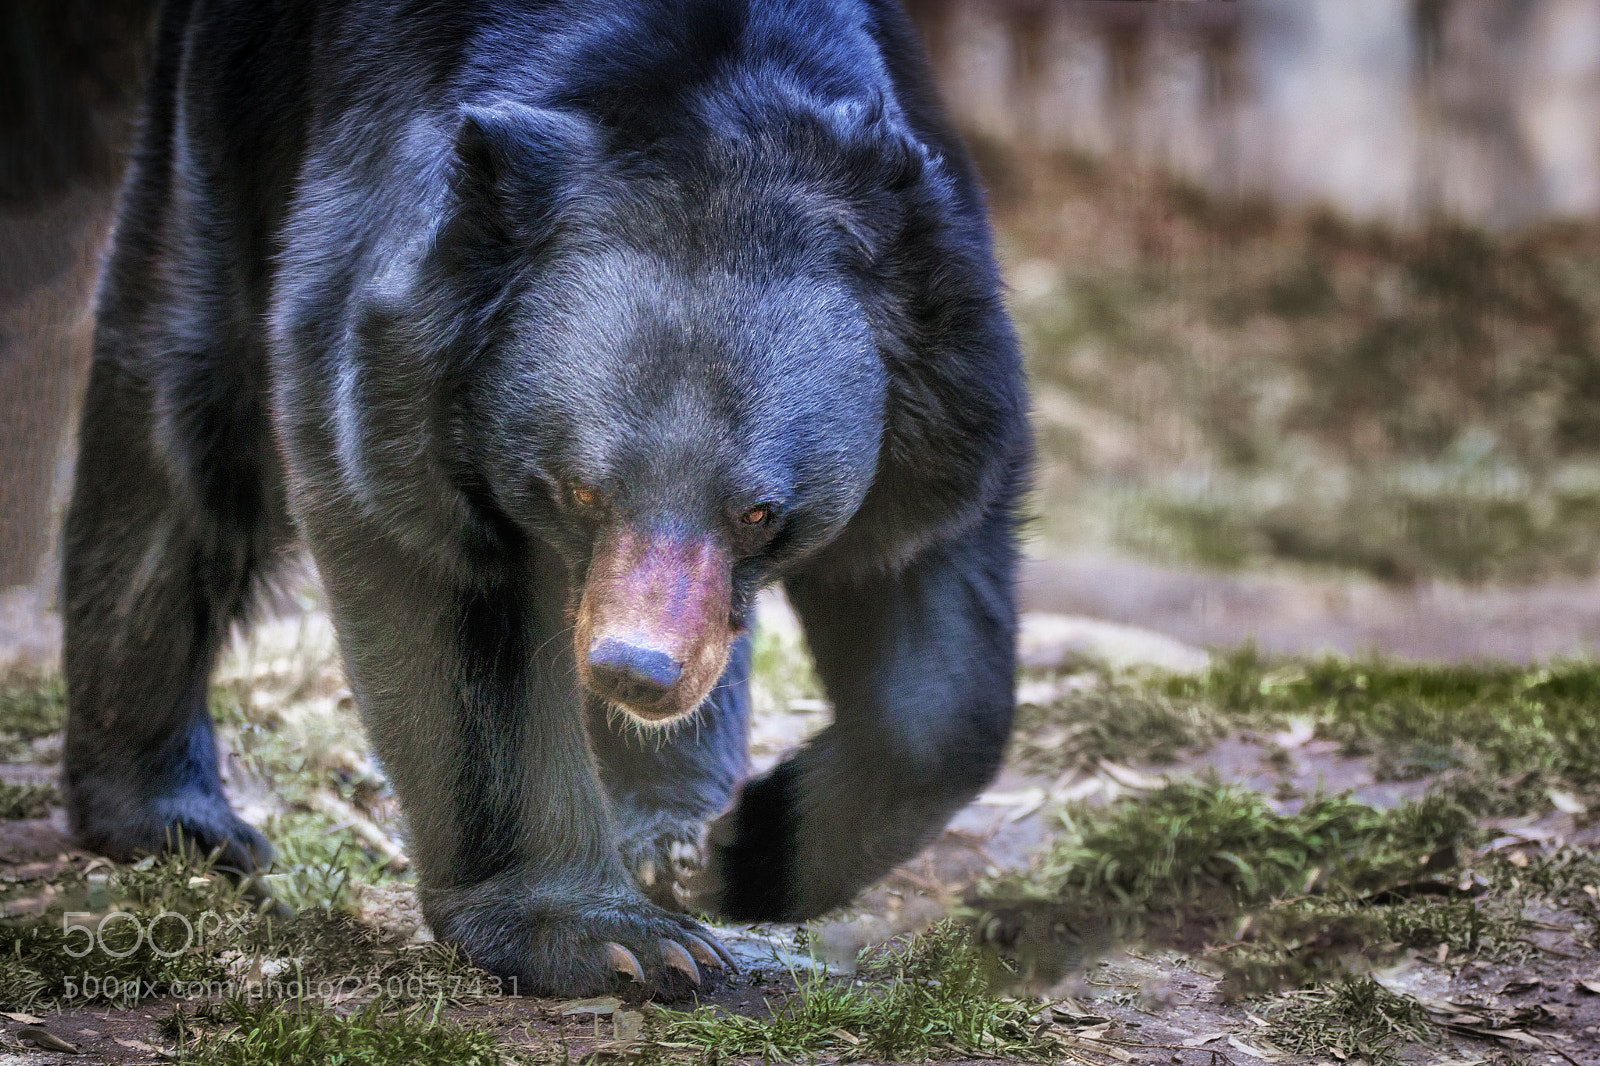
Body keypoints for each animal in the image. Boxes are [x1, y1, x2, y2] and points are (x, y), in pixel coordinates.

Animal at [61, 0, 1031, 997]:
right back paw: (175, 819)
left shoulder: (939, 366)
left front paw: (746, 855)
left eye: (759, 511)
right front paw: (609, 937)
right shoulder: (398, 310)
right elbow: (430, 564)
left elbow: (930, 603)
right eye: (583, 489)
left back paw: (669, 832)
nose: (635, 670)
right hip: (227, 111)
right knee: (184, 409)